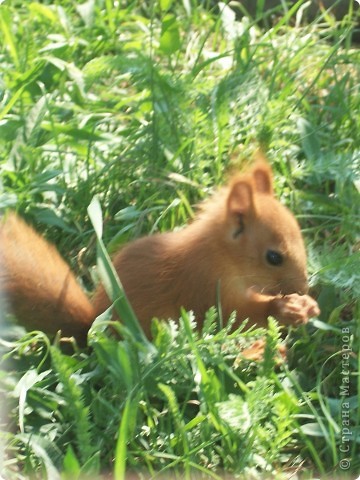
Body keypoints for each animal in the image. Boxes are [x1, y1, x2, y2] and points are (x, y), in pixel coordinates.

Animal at [0, 160, 320, 342]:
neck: (220, 255)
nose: (303, 288)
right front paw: (284, 308)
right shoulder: (204, 286)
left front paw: (304, 305)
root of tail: (92, 329)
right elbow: (235, 314)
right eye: (274, 257)